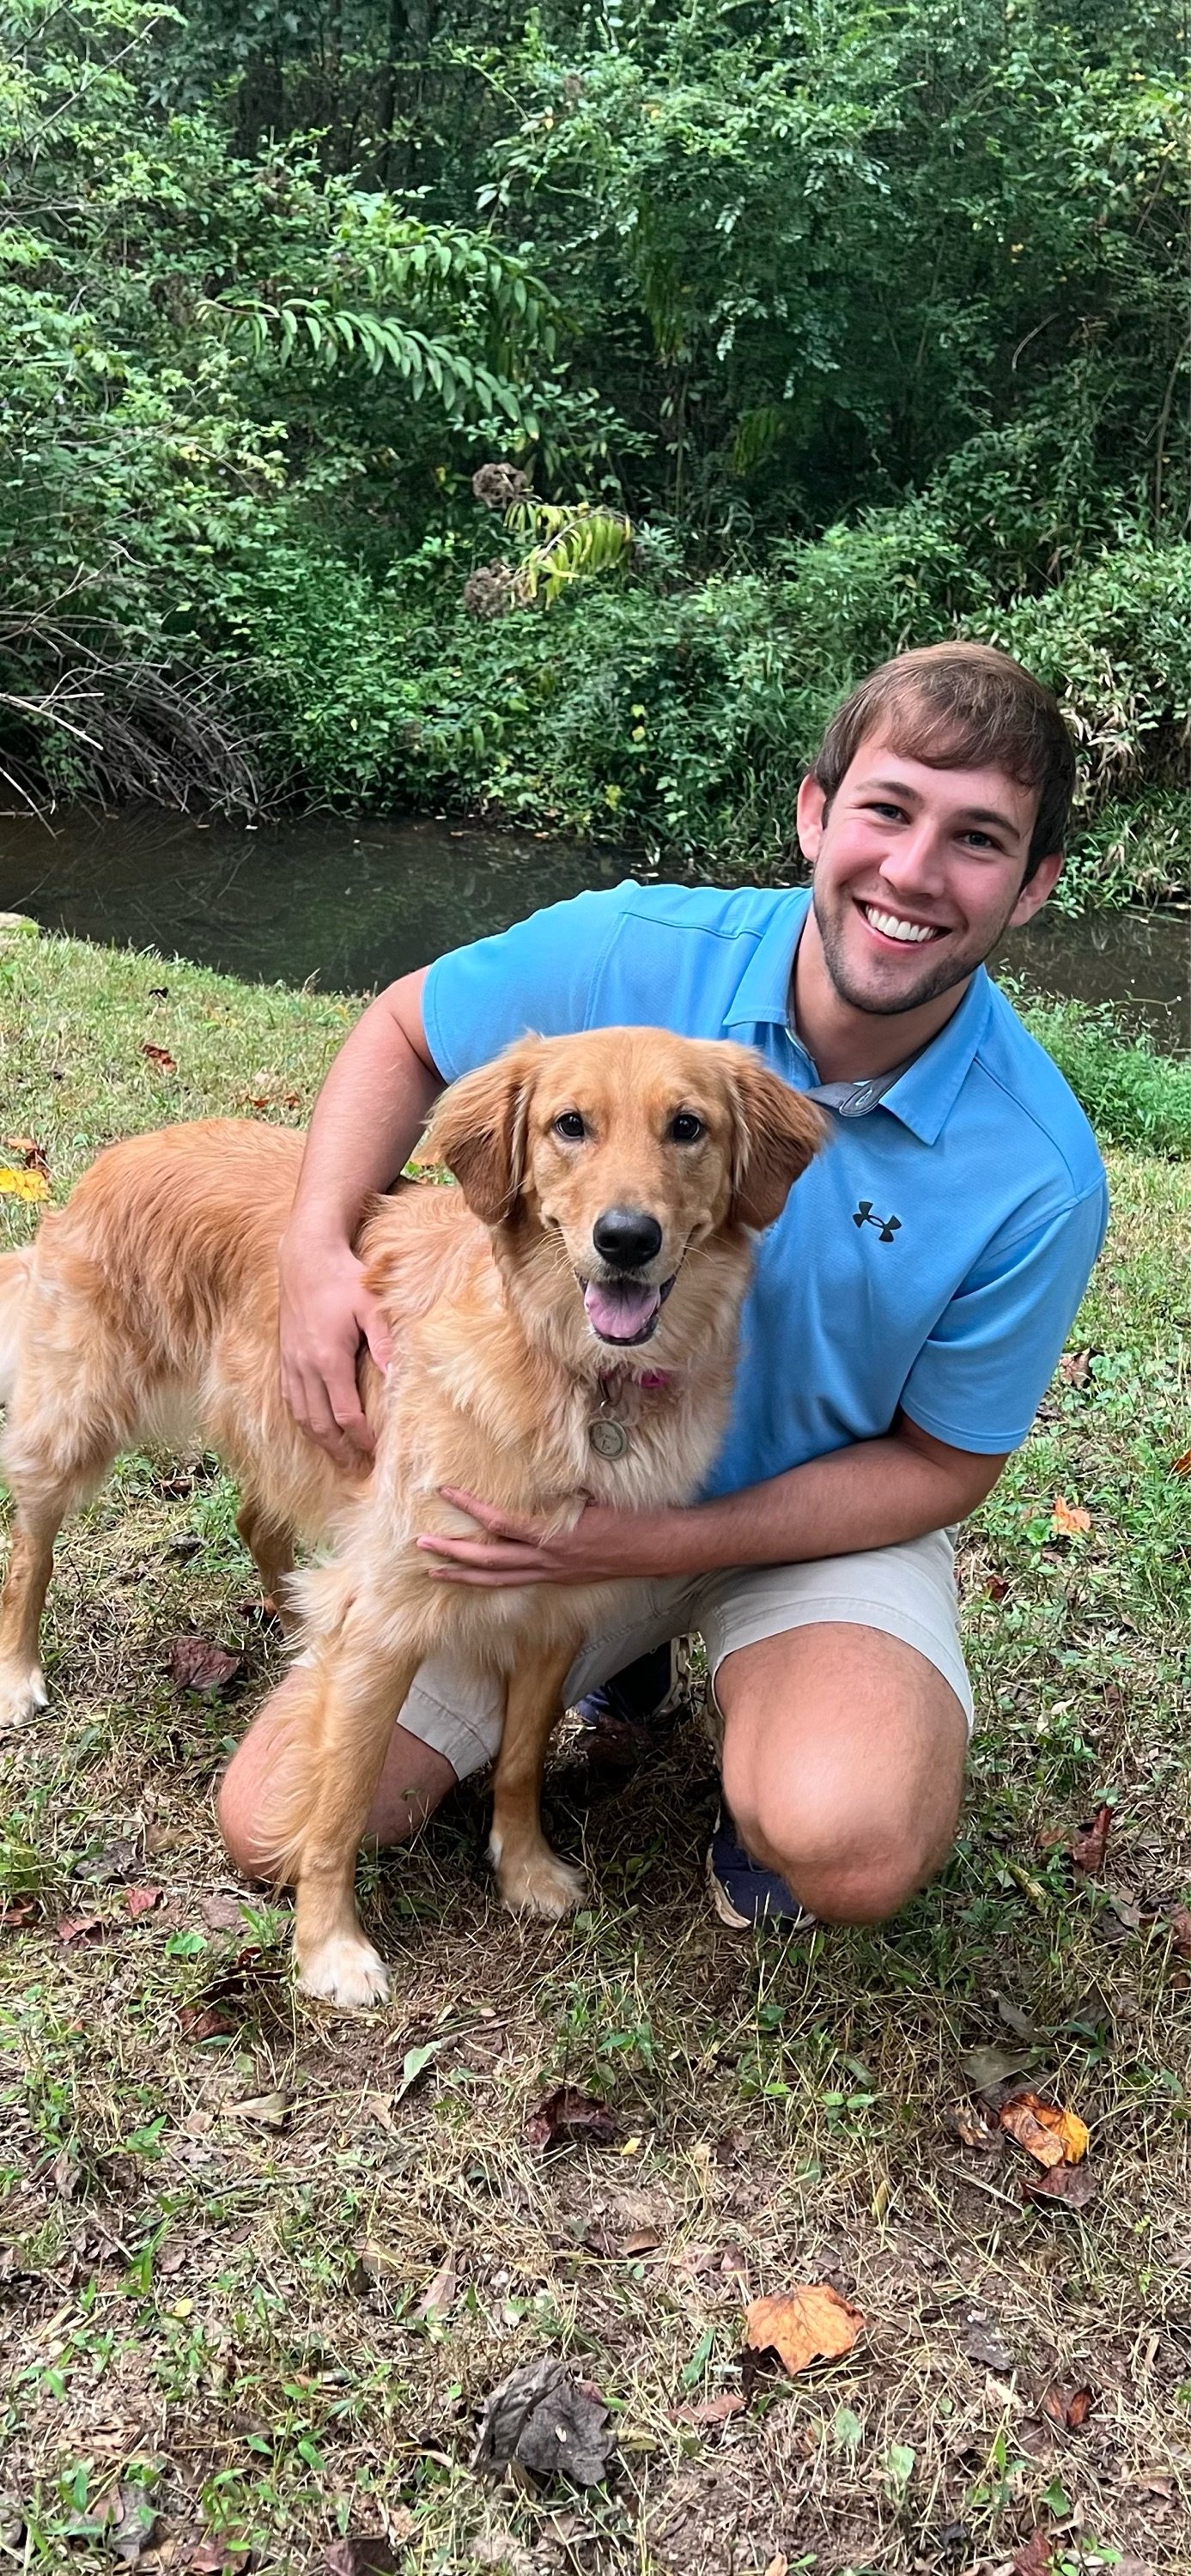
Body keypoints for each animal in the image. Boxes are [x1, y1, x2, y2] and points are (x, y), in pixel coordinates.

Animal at [0, 1030, 819, 2009]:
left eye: (687, 1127)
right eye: (569, 1125)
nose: (626, 1240)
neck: (570, 1368)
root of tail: (125, 1151)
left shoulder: (553, 1606)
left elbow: (519, 1758)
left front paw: (525, 1869)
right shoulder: (387, 1622)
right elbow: (342, 1800)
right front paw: (328, 1947)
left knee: (259, 1525)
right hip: (76, 1420)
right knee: (30, 1547)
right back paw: (17, 1674)